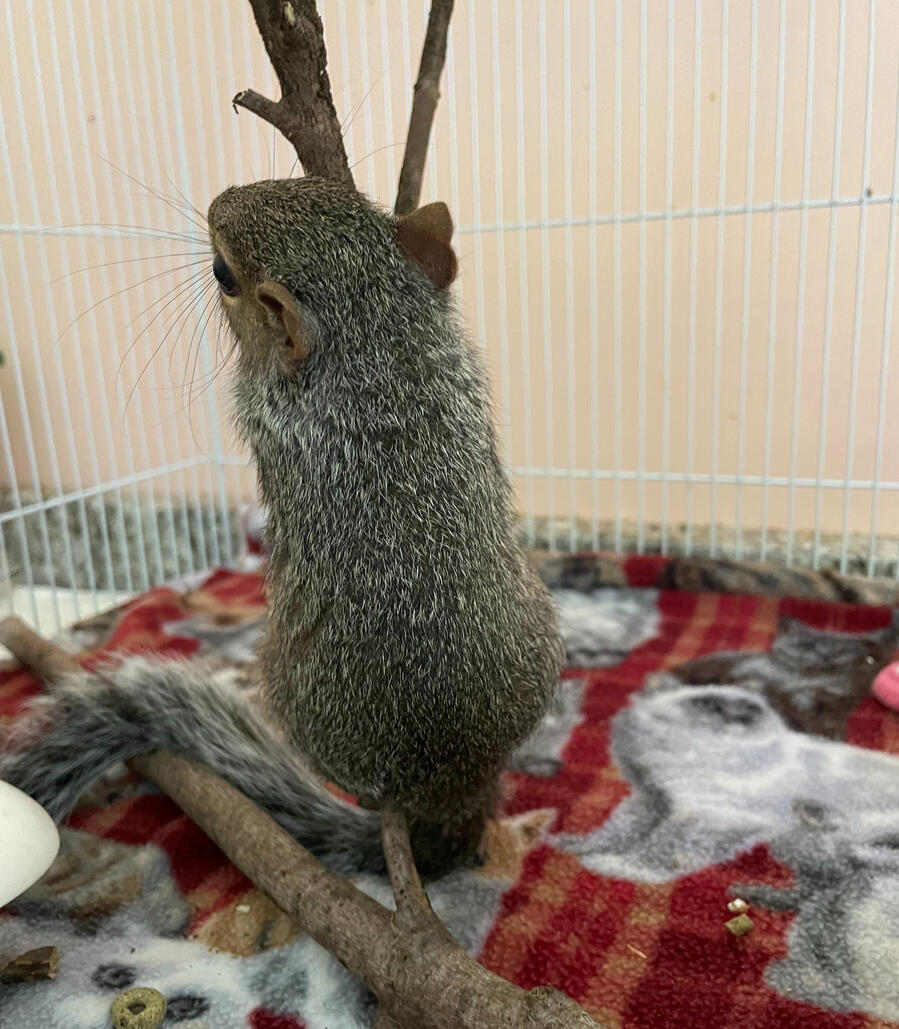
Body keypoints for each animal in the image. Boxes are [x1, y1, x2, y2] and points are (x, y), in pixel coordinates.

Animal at [0, 177, 564, 877]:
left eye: (225, 273)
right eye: (348, 198)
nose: (219, 202)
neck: (381, 346)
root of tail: (446, 793)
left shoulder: (262, 408)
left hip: (283, 681)